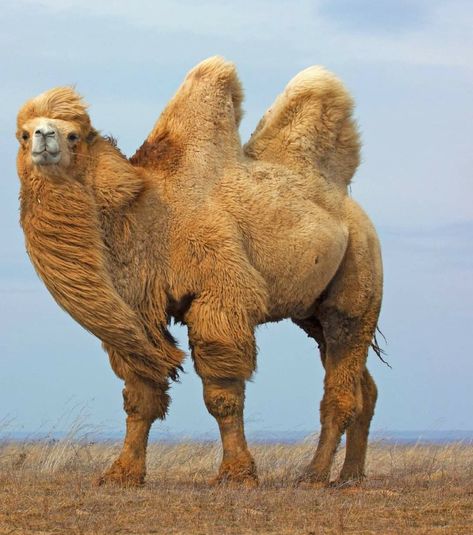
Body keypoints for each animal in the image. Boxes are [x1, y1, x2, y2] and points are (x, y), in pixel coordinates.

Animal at [16, 57, 382, 490]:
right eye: (22, 134)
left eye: (74, 135)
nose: (43, 137)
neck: (147, 214)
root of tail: (352, 208)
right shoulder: (140, 313)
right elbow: (140, 395)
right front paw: (122, 474)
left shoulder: (221, 294)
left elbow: (222, 395)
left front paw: (237, 475)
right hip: (311, 310)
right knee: (363, 386)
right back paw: (351, 476)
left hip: (359, 273)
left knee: (341, 377)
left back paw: (313, 476)